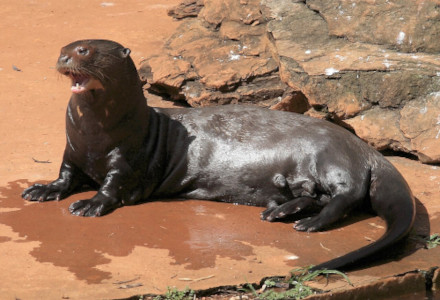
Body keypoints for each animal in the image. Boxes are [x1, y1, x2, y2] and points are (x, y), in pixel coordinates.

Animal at [22, 38, 414, 270]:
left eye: (84, 51)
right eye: (64, 47)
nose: (63, 57)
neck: (96, 136)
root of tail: (367, 150)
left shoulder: (128, 159)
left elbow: (113, 185)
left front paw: (90, 203)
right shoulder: (72, 151)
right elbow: (64, 175)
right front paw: (42, 189)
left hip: (330, 157)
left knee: (345, 197)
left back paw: (309, 223)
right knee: (315, 196)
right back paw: (281, 211)